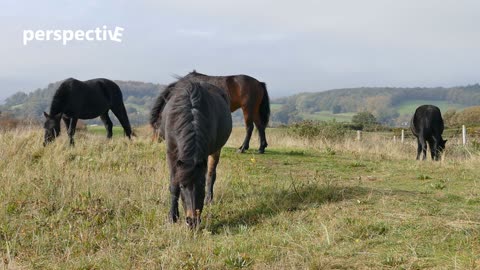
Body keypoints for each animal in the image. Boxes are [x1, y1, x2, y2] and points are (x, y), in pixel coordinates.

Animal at [157, 79, 232, 228]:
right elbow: (173, 184)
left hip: (216, 150)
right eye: (182, 186)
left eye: (201, 185)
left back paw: (209, 199)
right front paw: (172, 217)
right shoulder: (171, 153)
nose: (192, 221)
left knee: (211, 174)